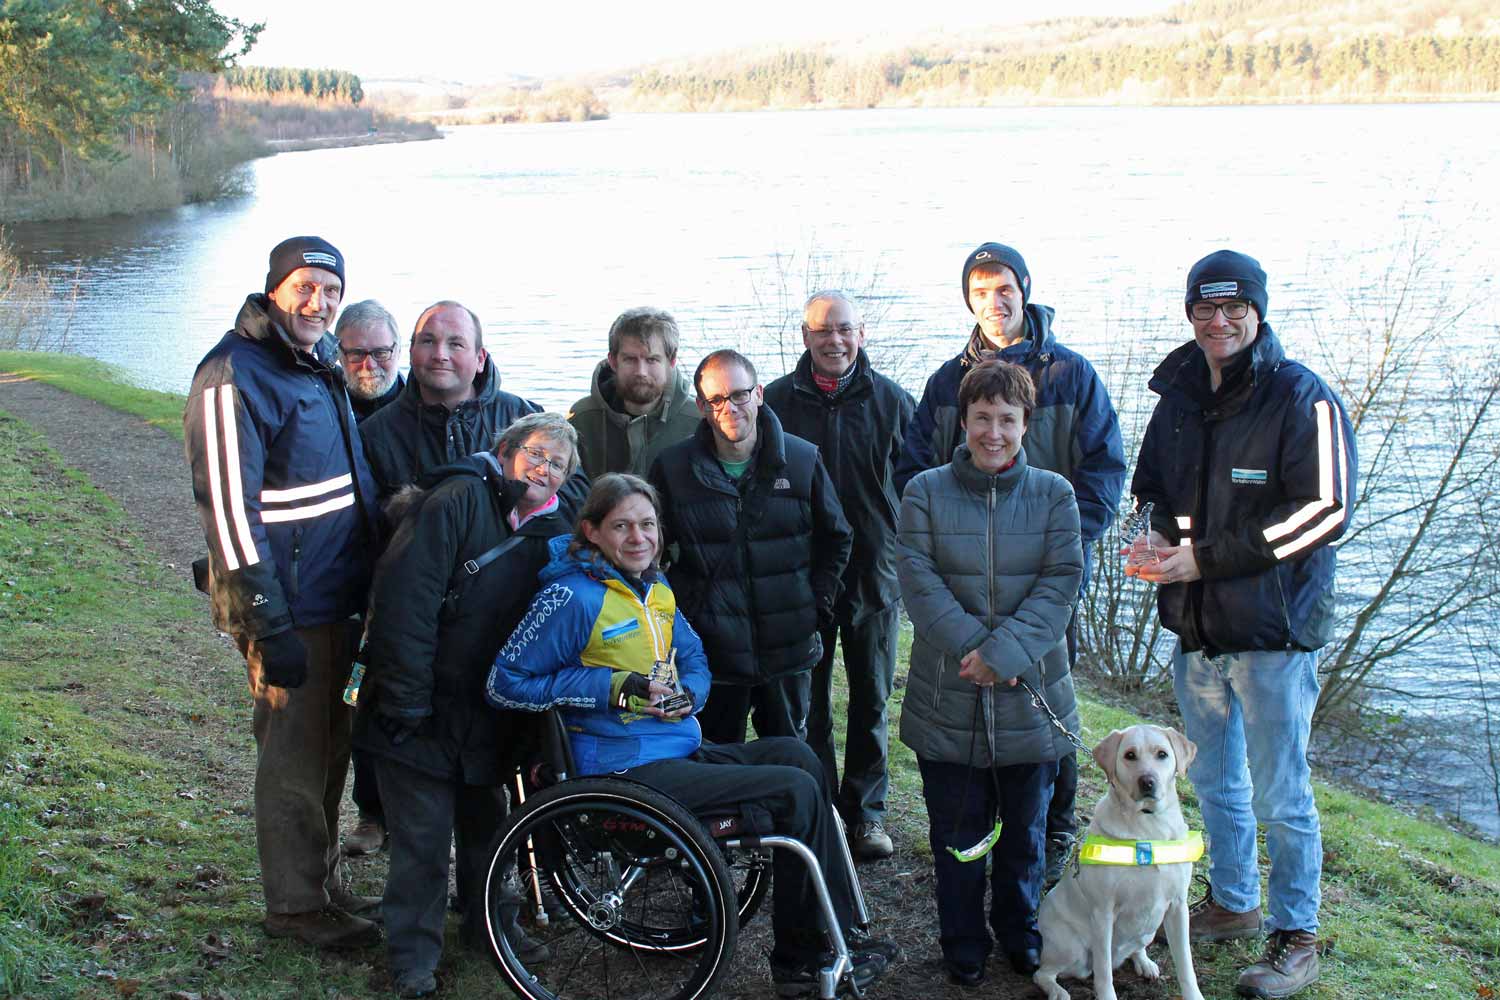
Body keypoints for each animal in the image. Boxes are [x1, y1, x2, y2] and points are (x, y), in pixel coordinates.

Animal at [1032, 728, 1206, 1000]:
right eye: (1130, 755)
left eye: (1162, 754)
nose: (1147, 781)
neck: (1149, 828)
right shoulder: (1103, 912)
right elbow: (1103, 972)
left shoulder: (1178, 906)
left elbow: (1186, 964)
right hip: (1071, 948)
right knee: (1043, 973)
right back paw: (1057, 991)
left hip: (1149, 929)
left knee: (1136, 948)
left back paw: (1144, 962)